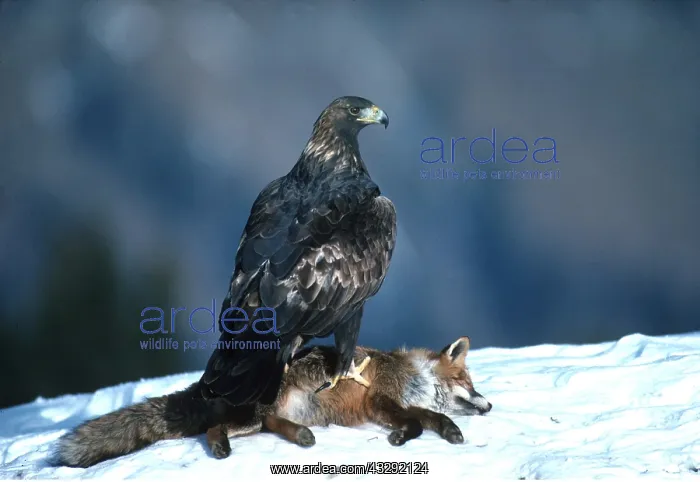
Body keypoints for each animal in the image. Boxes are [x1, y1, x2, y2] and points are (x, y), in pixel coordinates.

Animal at [55, 336, 491, 468]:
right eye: (468, 382)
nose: (488, 406)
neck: (413, 376)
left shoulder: (398, 402)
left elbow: (430, 417)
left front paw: (451, 430)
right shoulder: (380, 400)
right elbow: (416, 422)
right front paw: (401, 438)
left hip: (279, 413)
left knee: (272, 426)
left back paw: (301, 437)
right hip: (253, 414)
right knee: (216, 427)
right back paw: (220, 446)